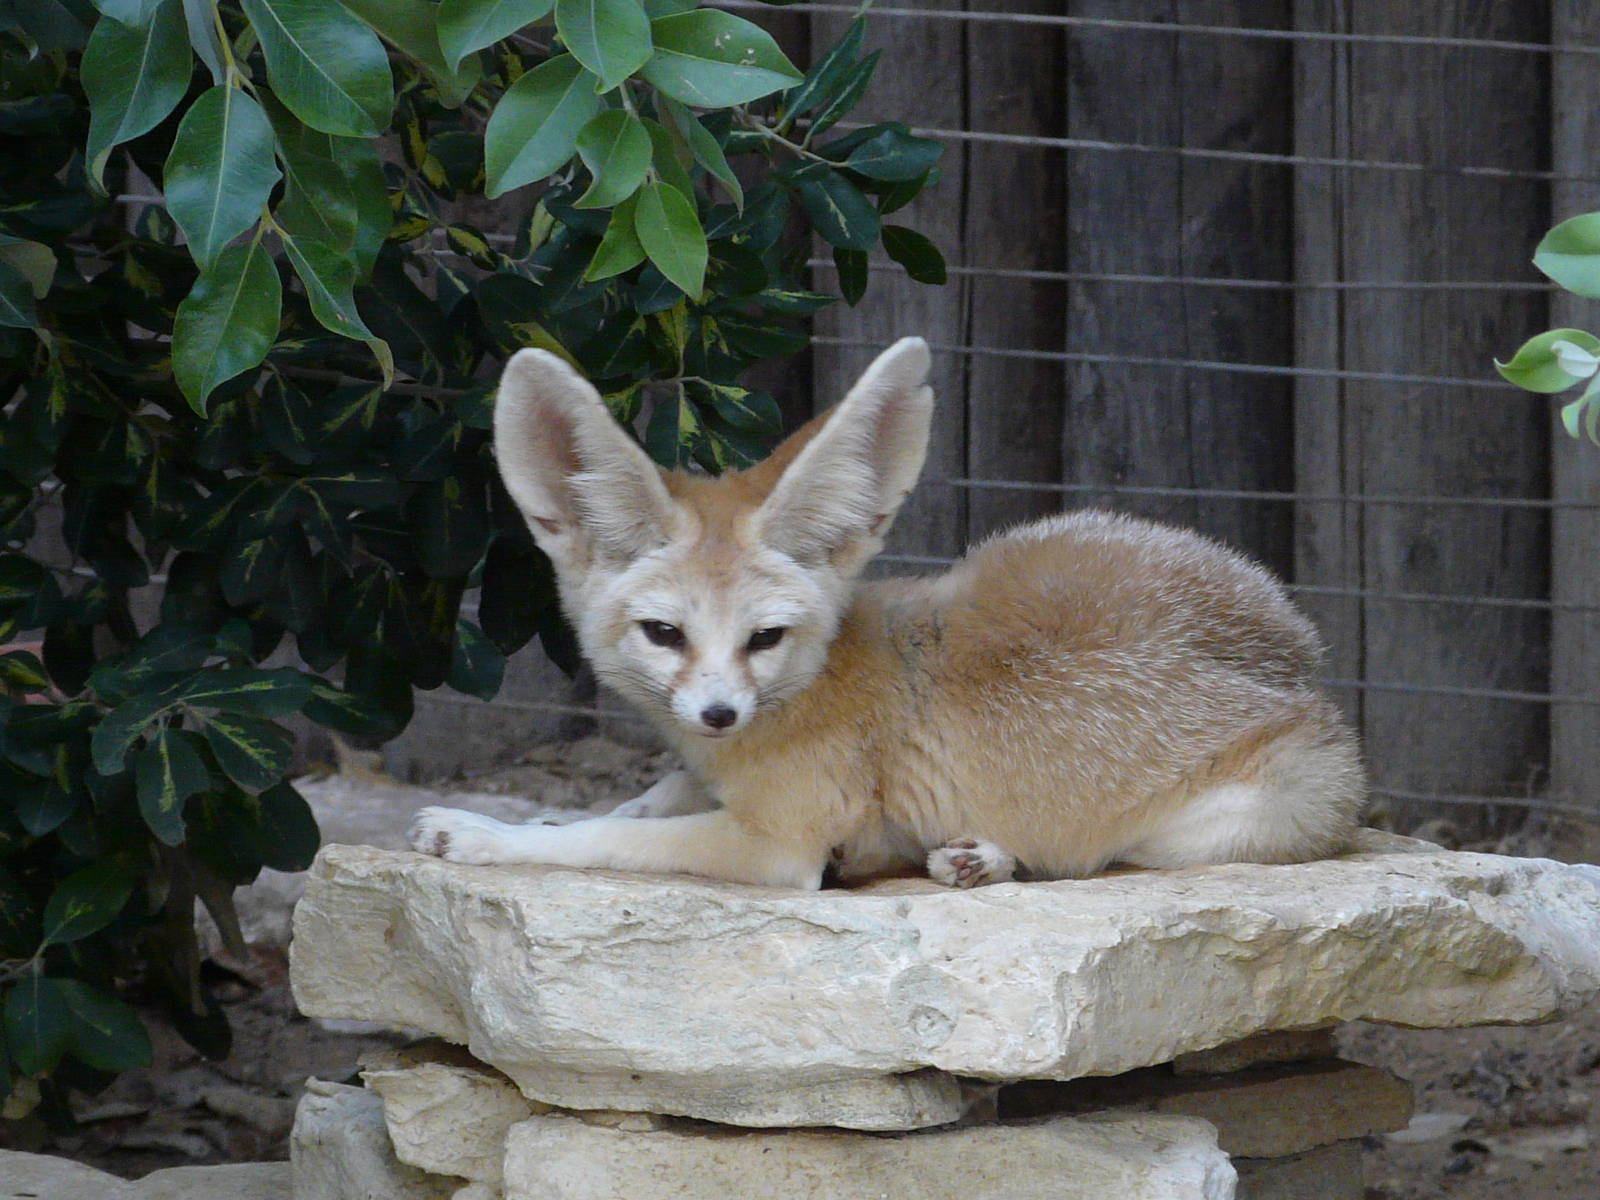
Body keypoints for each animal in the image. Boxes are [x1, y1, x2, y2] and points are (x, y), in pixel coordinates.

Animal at [410, 337, 1366, 890]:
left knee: (1094, 856)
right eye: (664, 634)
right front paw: (530, 818)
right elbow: (624, 809)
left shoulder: (780, 843)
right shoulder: (709, 778)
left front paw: (484, 837)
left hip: (1202, 832)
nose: (718, 713)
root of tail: (1304, 658)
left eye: (765, 637)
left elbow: (608, 842)